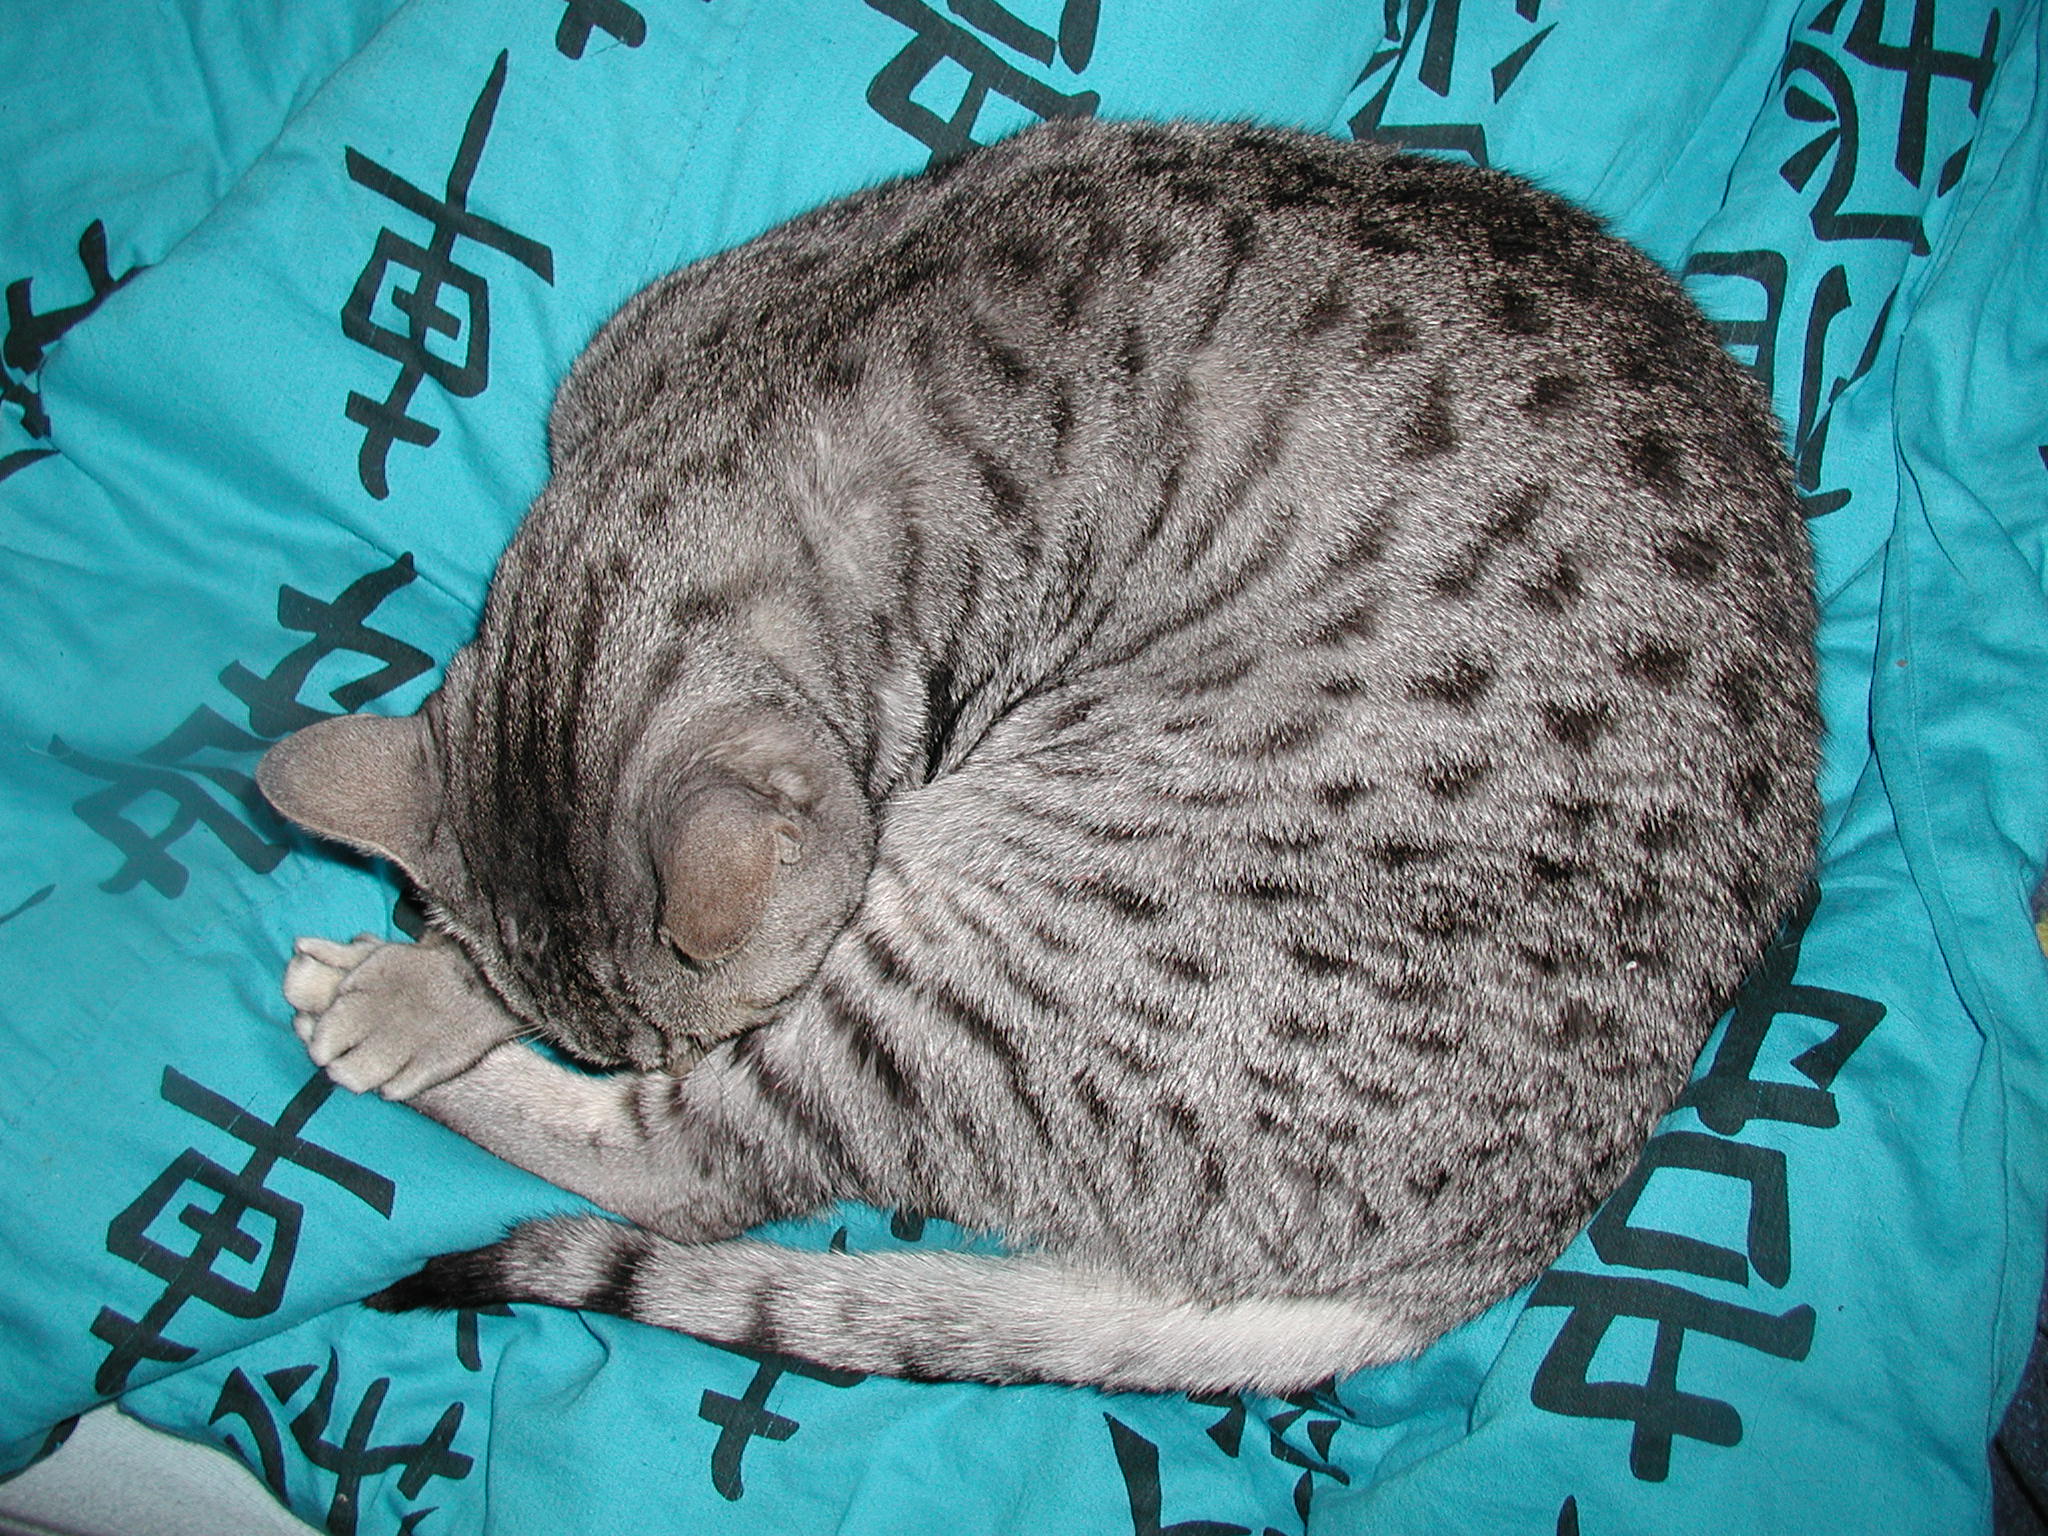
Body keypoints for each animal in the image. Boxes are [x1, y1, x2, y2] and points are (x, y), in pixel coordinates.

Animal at [257, 117, 1820, 1394]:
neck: (734, 412)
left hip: (974, 949)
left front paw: (406, 1000)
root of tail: (1499, 1248)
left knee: (683, 1169)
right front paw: (435, 975)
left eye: (704, 1021)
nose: (707, 1036)